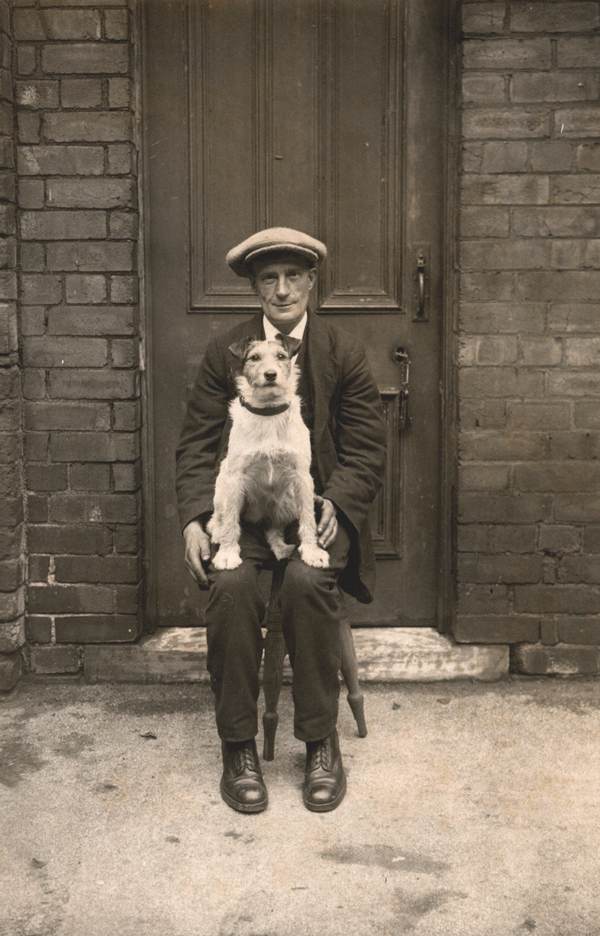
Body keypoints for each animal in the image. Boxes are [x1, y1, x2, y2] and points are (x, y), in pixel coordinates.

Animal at [206, 336, 328, 572]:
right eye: (254, 358)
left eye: (281, 356)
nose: (270, 374)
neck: (269, 411)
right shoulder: (235, 477)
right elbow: (231, 521)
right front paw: (227, 553)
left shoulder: (302, 477)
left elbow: (308, 518)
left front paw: (311, 551)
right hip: (222, 485)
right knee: (219, 516)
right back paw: (217, 532)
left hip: (287, 501)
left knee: (274, 530)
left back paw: (282, 548)